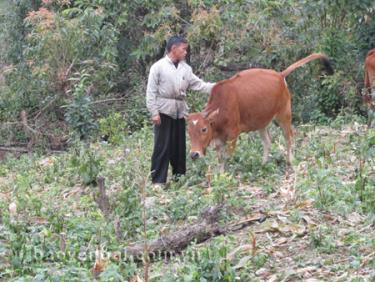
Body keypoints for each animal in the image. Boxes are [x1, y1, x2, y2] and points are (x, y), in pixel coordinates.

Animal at [189, 52, 334, 170]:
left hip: (284, 115)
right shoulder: (219, 138)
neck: (221, 106)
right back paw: (264, 164)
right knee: (267, 141)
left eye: (204, 129)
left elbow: (226, 157)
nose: (194, 154)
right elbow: (220, 159)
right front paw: (219, 177)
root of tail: (279, 74)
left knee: (289, 137)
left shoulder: (233, 134)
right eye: (188, 131)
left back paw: (290, 162)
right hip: (261, 122)